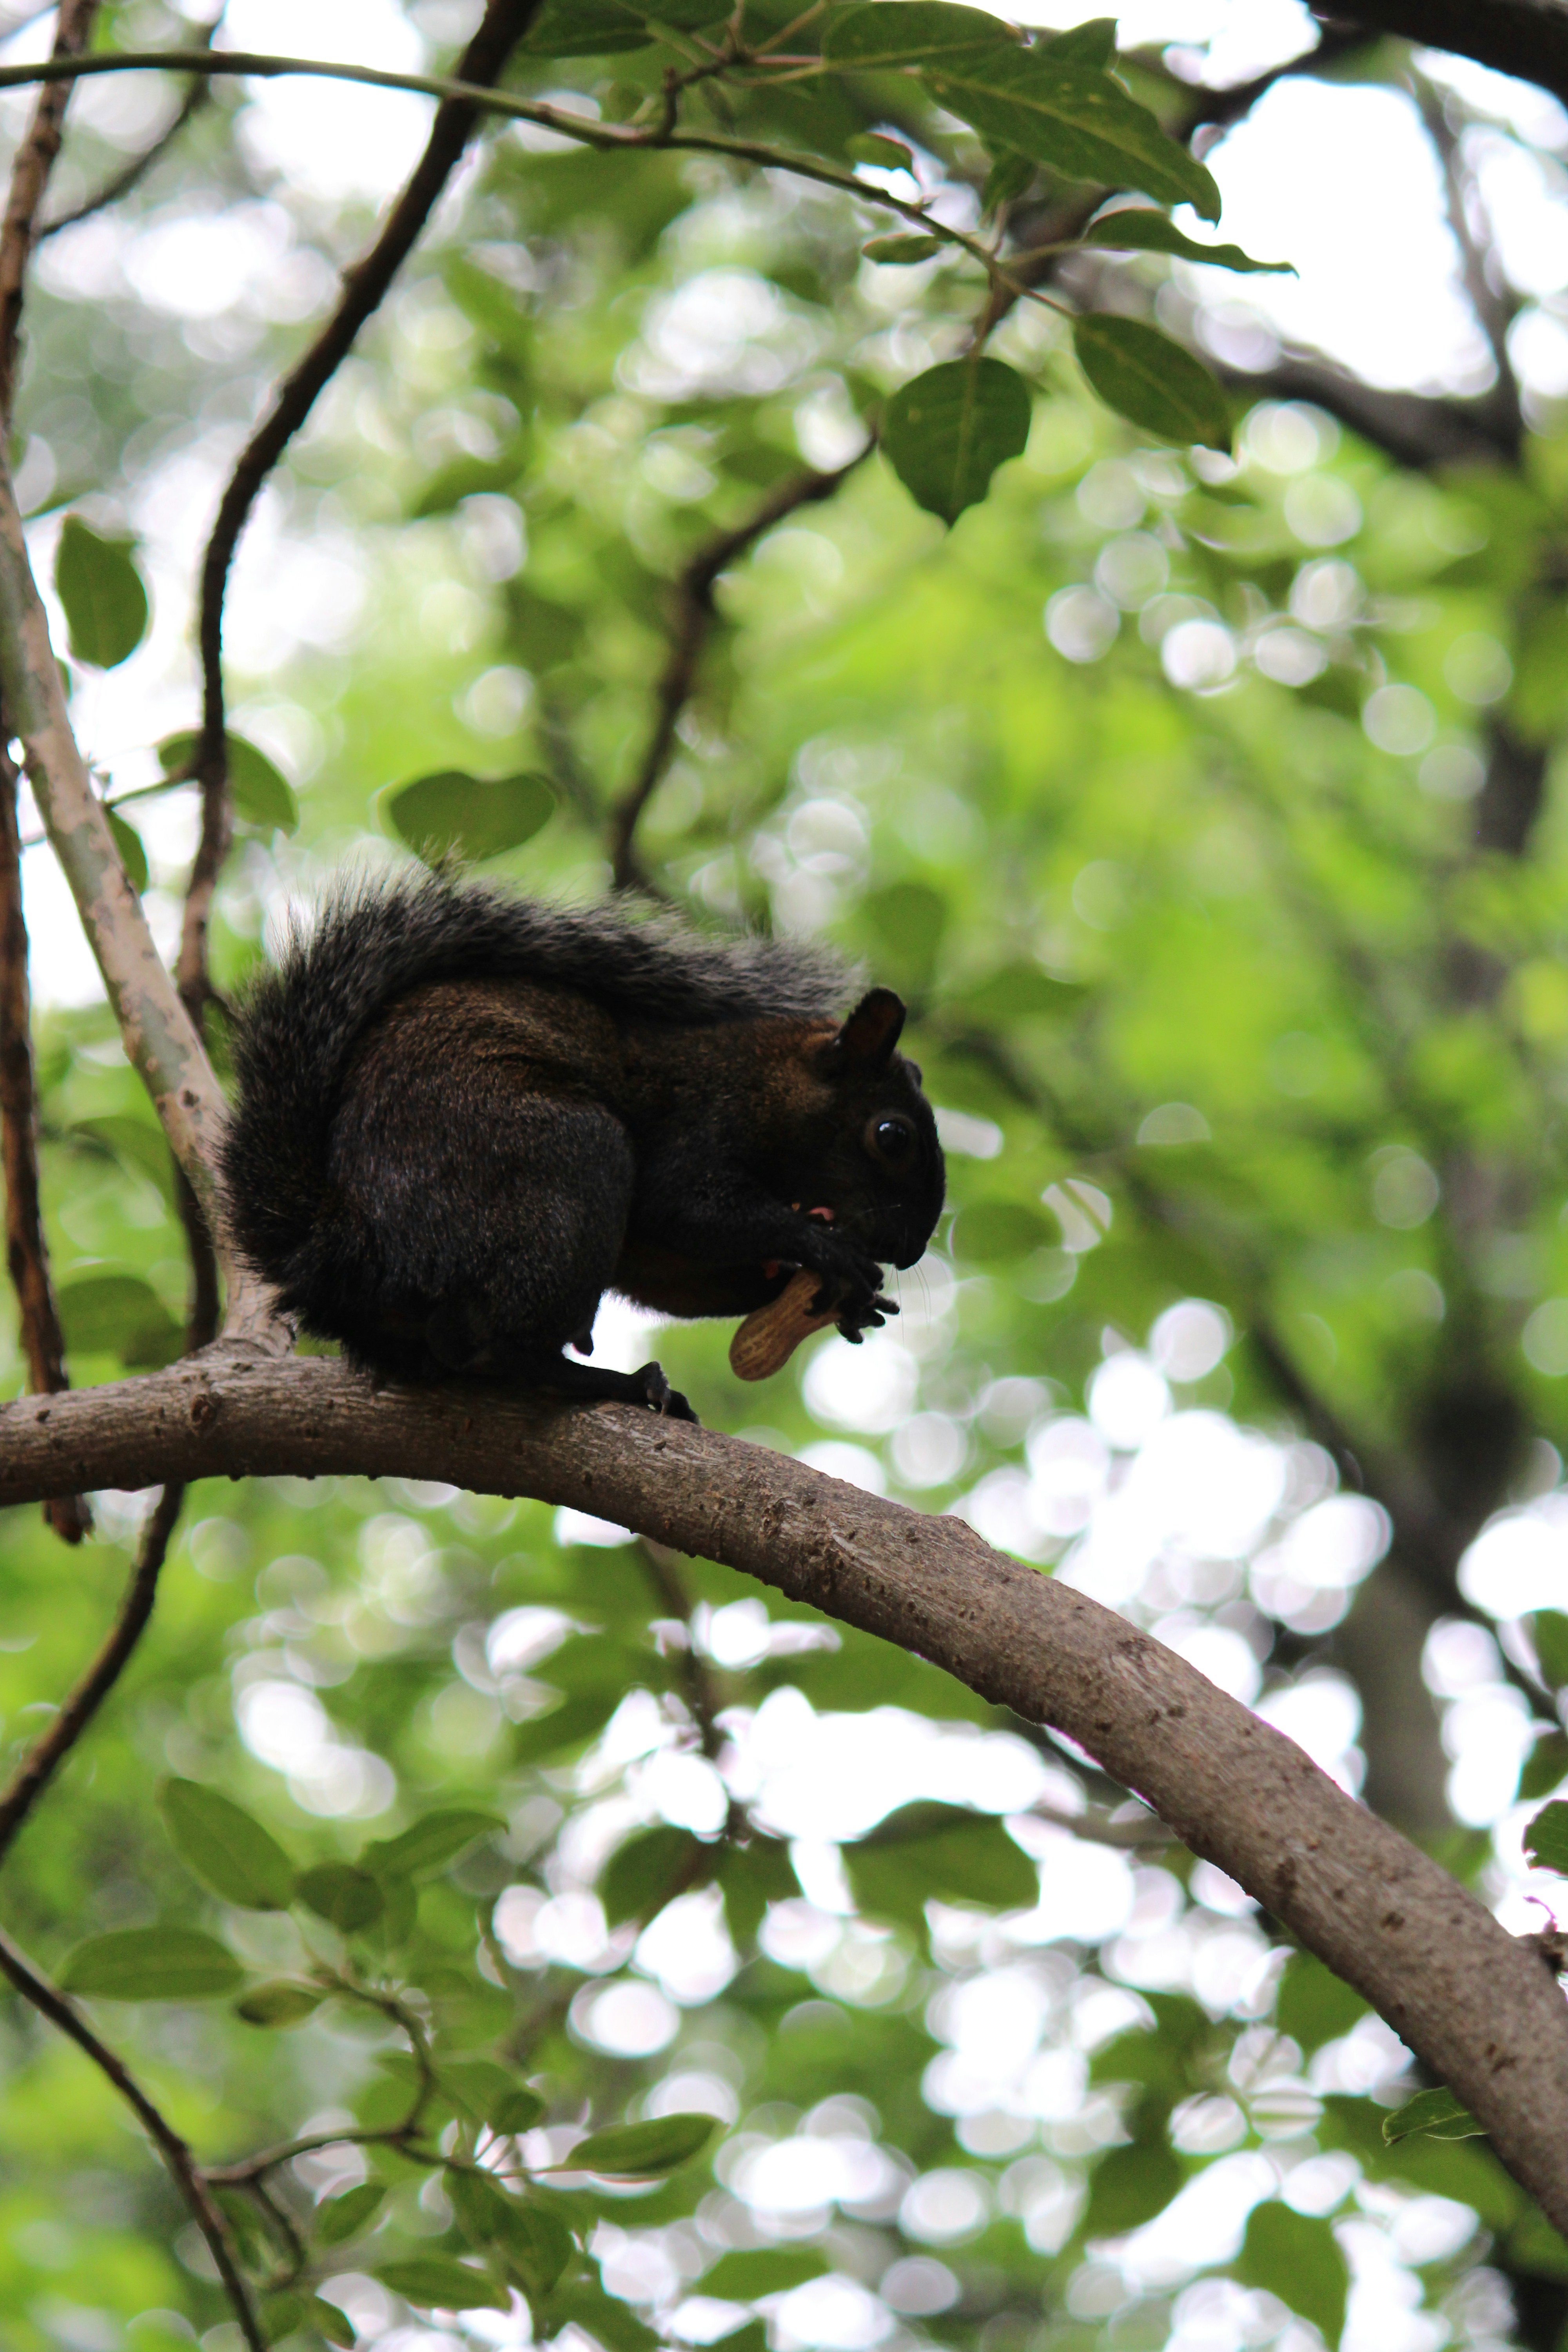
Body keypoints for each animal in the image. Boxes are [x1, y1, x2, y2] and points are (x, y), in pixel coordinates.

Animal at [220, 872, 946, 1421]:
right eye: (892, 1136)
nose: (910, 1251)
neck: (769, 1083)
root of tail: (350, 1249)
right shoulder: (700, 1123)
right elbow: (690, 1208)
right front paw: (821, 1246)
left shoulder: (653, 1257)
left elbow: (681, 1280)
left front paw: (840, 1291)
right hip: (566, 1163)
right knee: (494, 1350)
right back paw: (620, 1384)